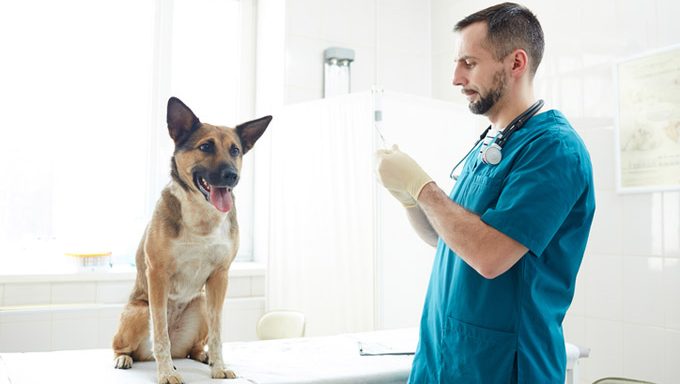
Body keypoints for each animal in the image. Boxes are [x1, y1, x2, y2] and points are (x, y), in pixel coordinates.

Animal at [111, 97, 270, 384]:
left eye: (235, 150)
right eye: (205, 146)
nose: (232, 175)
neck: (202, 216)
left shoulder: (220, 277)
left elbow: (218, 334)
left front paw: (219, 366)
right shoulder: (157, 274)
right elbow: (160, 334)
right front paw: (165, 373)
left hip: (202, 305)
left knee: (193, 347)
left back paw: (203, 356)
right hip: (139, 312)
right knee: (126, 345)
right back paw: (125, 358)